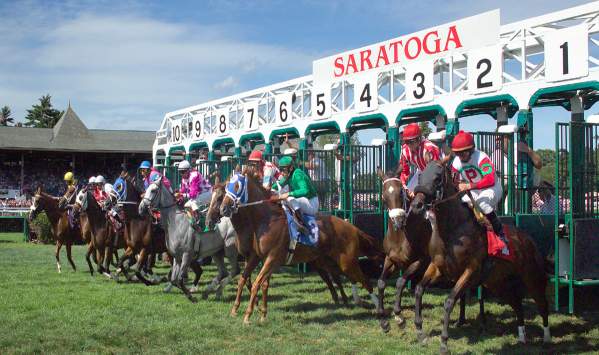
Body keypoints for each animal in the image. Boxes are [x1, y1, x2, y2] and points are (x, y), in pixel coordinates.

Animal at [139, 175, 240, 304]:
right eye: (145, 189)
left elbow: (180, 279)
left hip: (229, 248)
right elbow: (173, 279)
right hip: (217, 252)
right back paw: (209, 292)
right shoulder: (177, 257)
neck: (176, 223)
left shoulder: (187, 255)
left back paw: (215, 291)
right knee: (223, 272)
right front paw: (168, 286)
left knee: (235, 270)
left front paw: (191, 297)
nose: (141, 208)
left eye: (153, 190)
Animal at [216, 172, 384, 326]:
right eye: (227, 186)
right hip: (329, 261)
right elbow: (249, 281)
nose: (224, 209)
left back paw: (379, 310)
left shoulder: (272, 258)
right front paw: (256, 313)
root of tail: (352, 227)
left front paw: (248, 315)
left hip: (347, 262)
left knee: (366, 282)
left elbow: (257, 284)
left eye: (237, 186)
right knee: (346, 278)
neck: (267, 220)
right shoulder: (257, 257)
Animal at [410, 160, 552, 354]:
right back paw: (522, 338)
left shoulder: (471, 270)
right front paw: (420, 332)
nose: (416, 205)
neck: (453, 229)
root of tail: (528, 239)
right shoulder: (438, 267)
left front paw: (444, 342)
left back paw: (546, 339)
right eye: (420, 176)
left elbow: (449, 301)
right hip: (498, 283)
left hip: (532, 277)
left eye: (437, 177)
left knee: (542, 305)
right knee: (517, 304)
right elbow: (418, 290)